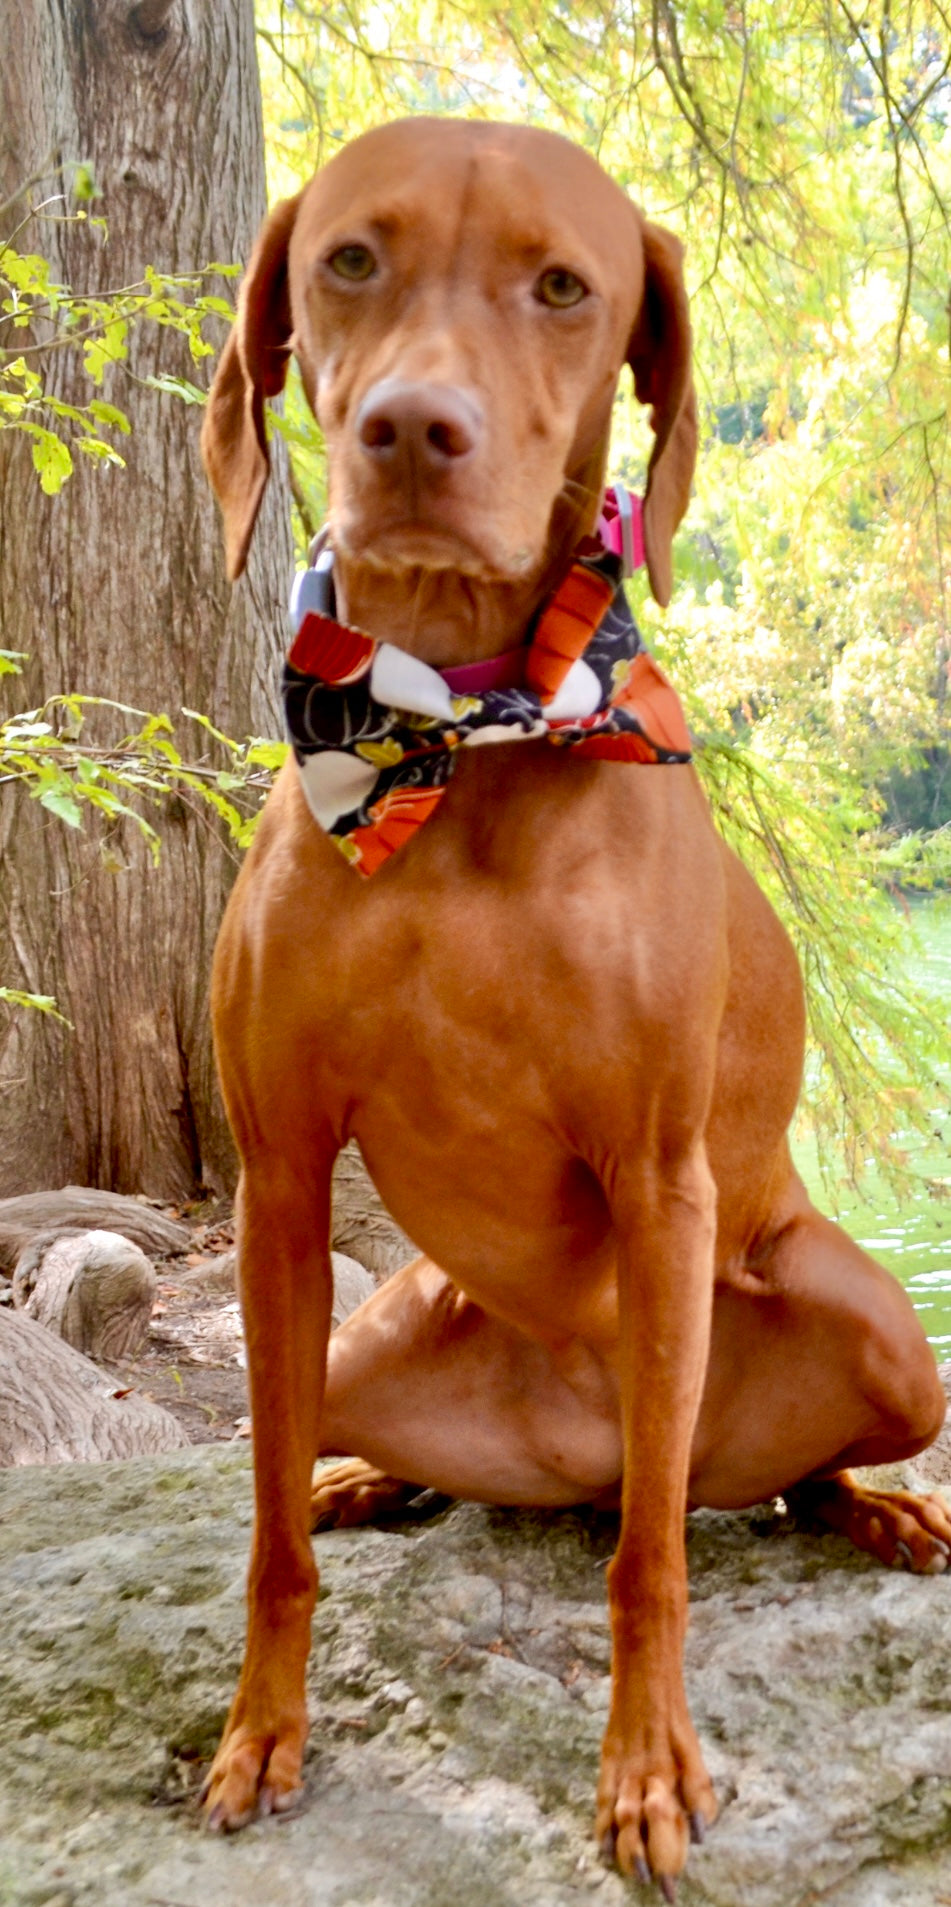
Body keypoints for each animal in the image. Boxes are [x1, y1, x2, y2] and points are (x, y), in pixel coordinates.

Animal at [199, 123, 945, 1891]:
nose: (412, 428)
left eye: (560, 287)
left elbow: (649, 1567)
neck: (451, 737)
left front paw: (647, 1769)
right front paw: (261, 1726)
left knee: (723, 1490)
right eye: (349, 259)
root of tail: (568, 1452)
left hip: (877, 1335)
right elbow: (259, 1529)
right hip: (364, 1333)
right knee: (328, 1442)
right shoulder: (276, 1179)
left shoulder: (660, 1183)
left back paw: (867, 1507)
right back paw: (364, 1479)